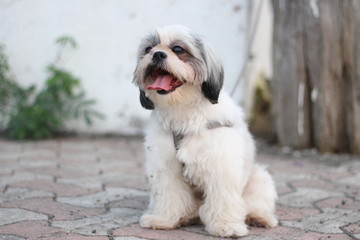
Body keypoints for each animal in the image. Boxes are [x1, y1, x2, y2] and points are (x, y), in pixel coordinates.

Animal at [134, 25, 278, 237]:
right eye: (148, 49)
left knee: (252, 204)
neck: (184, 110)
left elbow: (223, 197)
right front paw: (164, 219)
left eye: (178, 49)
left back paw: (259, 217)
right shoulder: (165, 167)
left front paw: (226, 225)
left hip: (259, 178)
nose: (158, 54)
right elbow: (169, 193)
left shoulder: (221, 165)